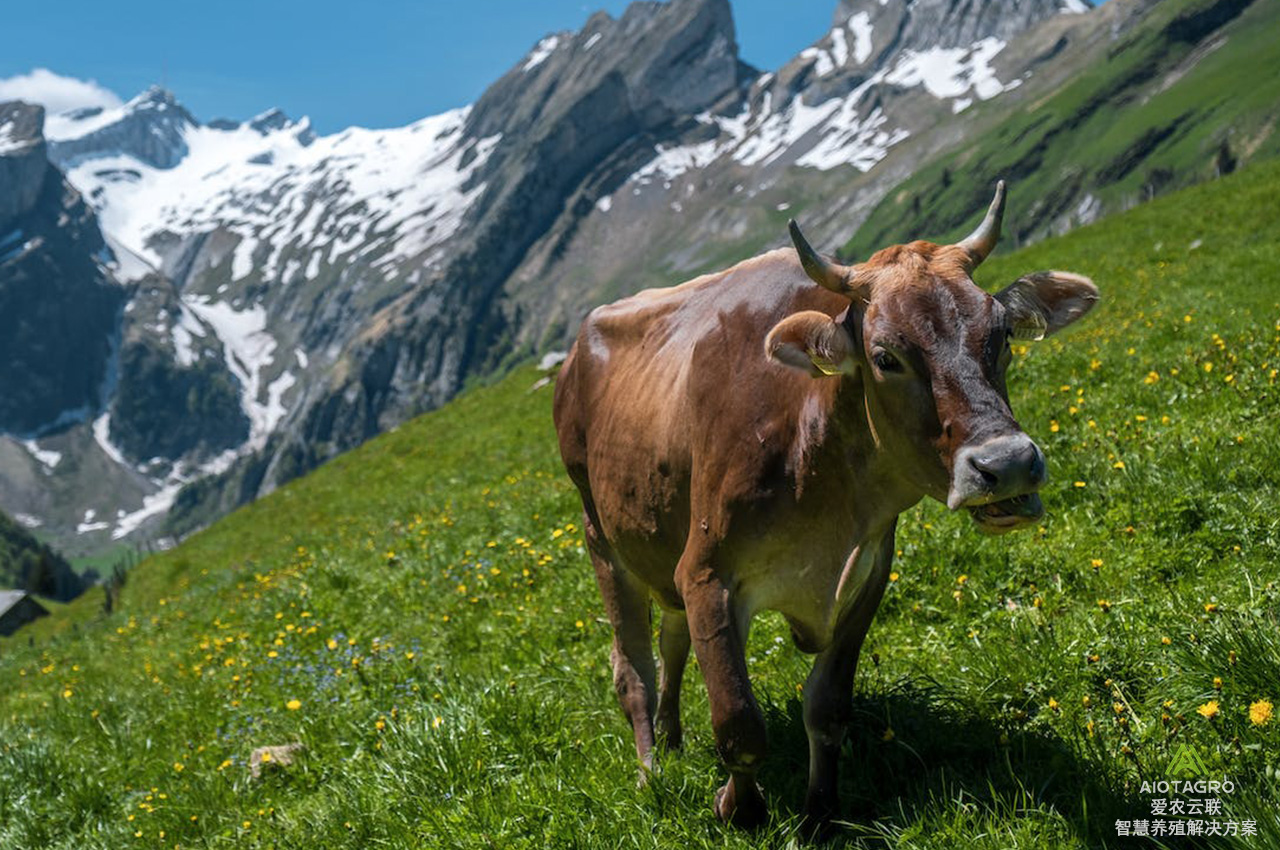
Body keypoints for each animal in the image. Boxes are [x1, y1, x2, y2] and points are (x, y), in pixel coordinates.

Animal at [552, 183, 1100, 824]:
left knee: (671, 642)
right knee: (632, 667)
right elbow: (739, 723)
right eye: (886, 356)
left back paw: (670, 736)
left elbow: (828, 707)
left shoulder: (868, 571)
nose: (1007, 464)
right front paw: (739, 810)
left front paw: (819, 815)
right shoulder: (706, 573)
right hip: (600, 537)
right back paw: (649, 771)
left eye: (1002, 336)